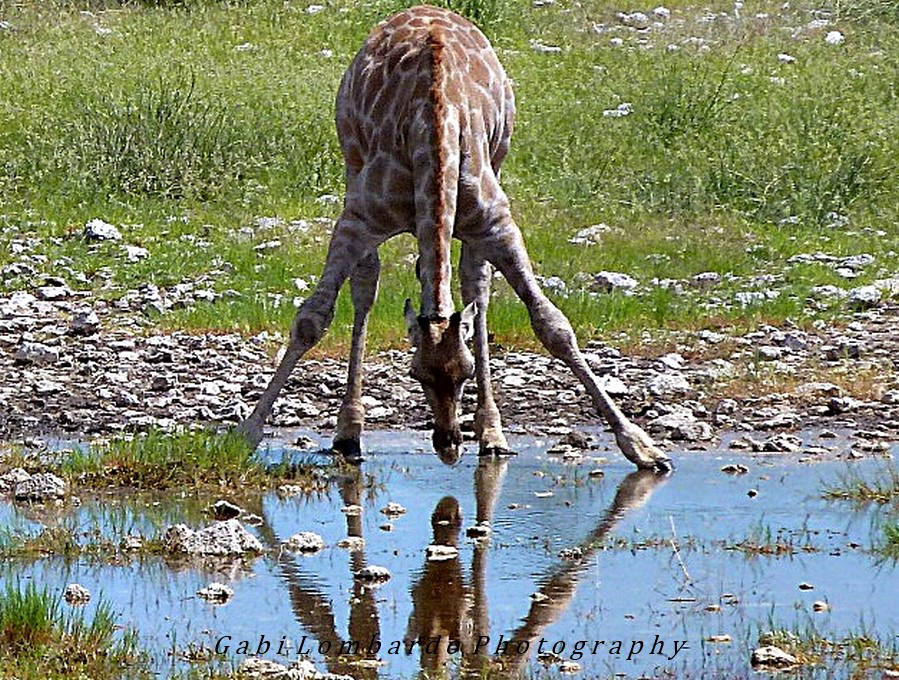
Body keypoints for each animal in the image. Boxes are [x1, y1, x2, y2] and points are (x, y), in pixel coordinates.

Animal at [236, 5, 672, 472]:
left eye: (464, 372)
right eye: (415, 374)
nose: (448, 444)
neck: (433, 133)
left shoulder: (497, 223)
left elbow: (552, 324)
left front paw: (641, 445)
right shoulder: (357, 220)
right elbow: (311, 319)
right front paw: (247, 431)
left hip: (498, 161)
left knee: (474, 281)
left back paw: (492, 432)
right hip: (351, 159)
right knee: (367, 283)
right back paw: (349, 431)